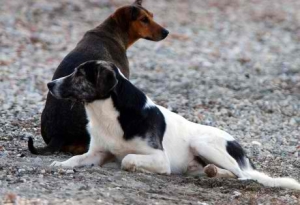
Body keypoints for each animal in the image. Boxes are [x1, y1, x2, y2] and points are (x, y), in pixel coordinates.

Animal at [48, 60, 300, 191]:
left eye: (79, 74)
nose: (50, 84)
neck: (108, 113)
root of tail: (239, 147)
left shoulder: (160, 158)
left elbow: (128, 159)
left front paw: (132, 167)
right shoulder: (97, 152)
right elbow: (75, 159)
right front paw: (61, 163)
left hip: (202, 143)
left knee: (242, 176)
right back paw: (211, 172)